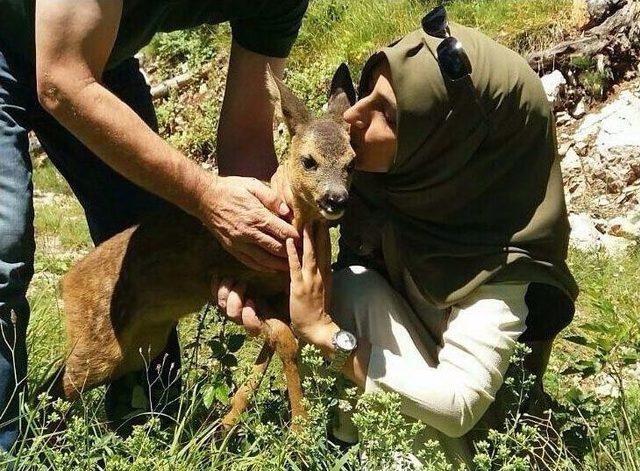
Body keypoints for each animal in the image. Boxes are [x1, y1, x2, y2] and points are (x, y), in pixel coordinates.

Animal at [47, 63, 358, 432]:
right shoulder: (232, 277)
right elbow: (285, 340)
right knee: (57, 382)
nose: (337, 199)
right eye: (309, 161)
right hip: (98, 340)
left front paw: (228, 421)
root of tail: (66, 283)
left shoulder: (276, 295)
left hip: (140, 344)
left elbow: (274, 344)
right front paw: (299, 427)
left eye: (351, 162)